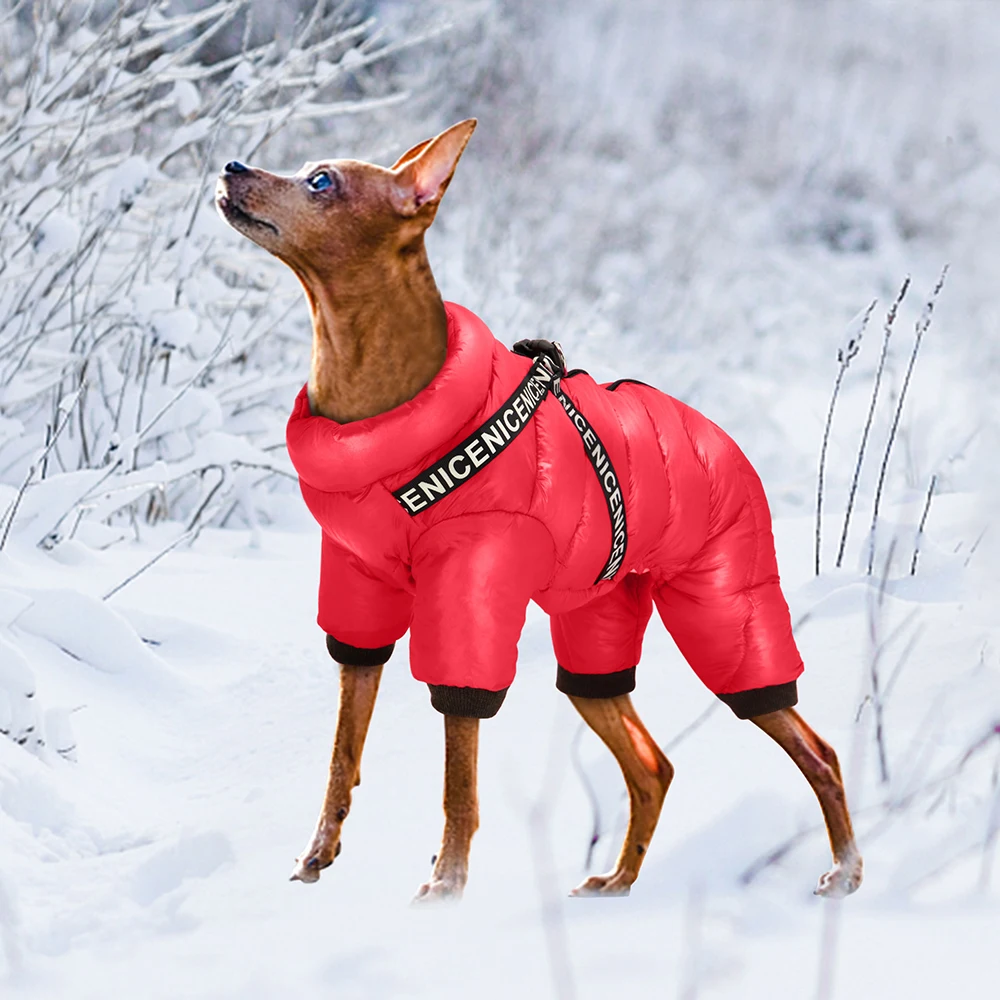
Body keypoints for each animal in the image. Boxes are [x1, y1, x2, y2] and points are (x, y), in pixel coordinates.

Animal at [215, 121, 864, 904]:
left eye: (321, 181)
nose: (231, 162)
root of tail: (720, 435)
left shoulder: (469, 602)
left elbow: (458, 774)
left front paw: (448, 881)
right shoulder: (358, 589)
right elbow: (344, 750)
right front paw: (319, 853)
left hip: (726, 611)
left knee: (818, 750)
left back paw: (847, 869)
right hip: (594, 635)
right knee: (652, 766)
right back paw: (619, 880)